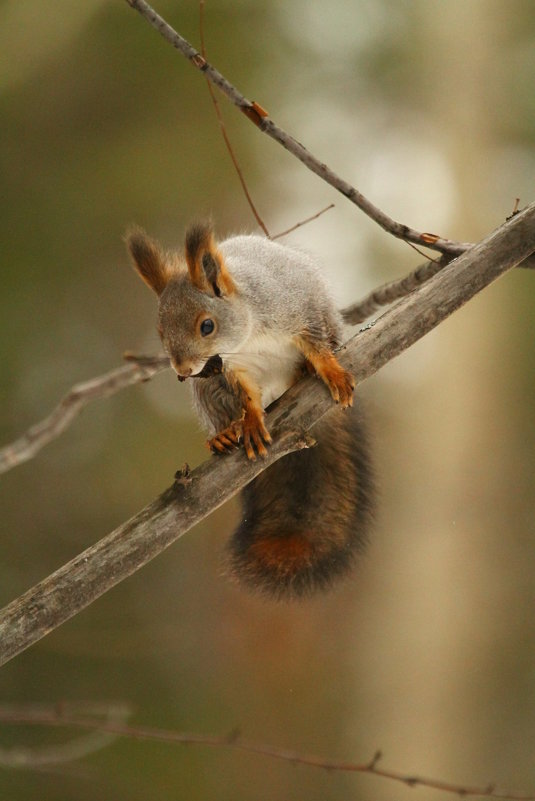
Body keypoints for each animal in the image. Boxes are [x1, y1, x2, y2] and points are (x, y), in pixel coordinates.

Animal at [127, 222, 374, 596]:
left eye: (207, 325)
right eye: (160, 331)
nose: (183, 371)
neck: (248, 334)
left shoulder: (298, 309)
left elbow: (317, 344)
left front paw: (329, 370)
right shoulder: (234, 368)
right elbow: (246, 396)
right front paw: (252, 422)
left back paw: (307, 372)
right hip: (207, 388)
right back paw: (225, 433)